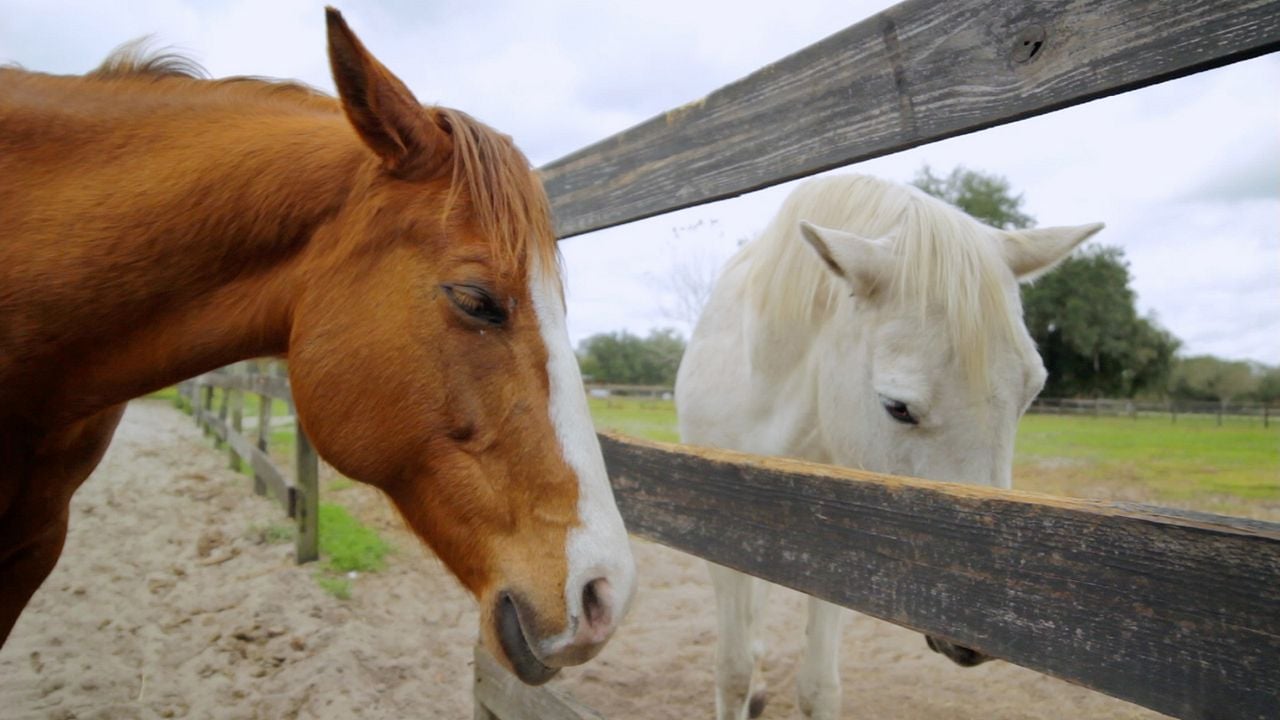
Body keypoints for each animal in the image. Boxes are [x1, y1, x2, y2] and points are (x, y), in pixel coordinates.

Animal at [675, 175, 1105, 717]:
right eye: (897, 406)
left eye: (1031, 392)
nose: (977, 629)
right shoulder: (714, 534)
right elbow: (731, 670)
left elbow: (817, 687)